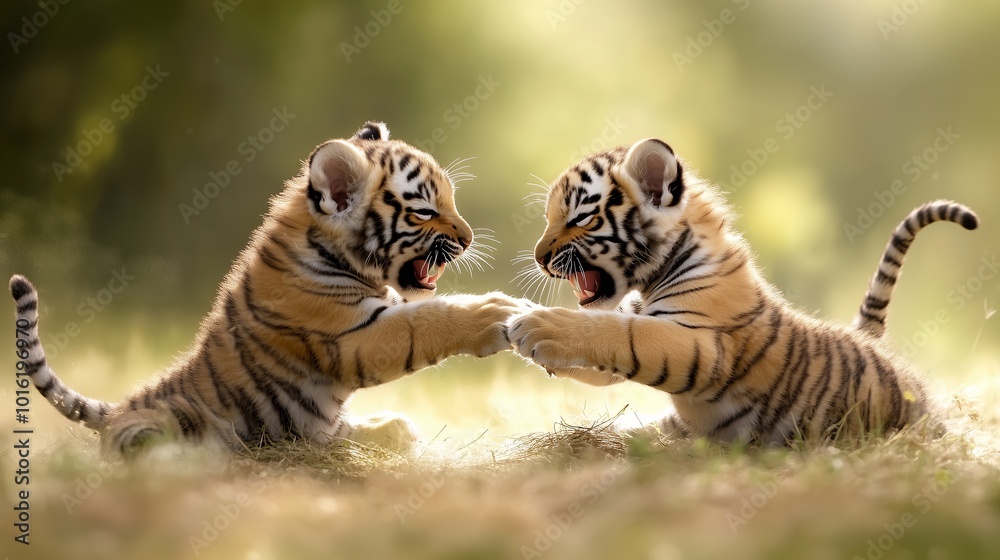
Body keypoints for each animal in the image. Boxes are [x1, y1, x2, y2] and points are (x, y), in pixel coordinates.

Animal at [10, 121, 528, 456]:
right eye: (424, 211)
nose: (470, 239)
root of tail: (119, 406)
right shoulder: (351, 335)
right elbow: (428, 321)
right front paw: (496, 312)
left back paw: (390, 429)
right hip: (167, 424)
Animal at [508, 137, 979, 444]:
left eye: (580, 218)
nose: (537, 257)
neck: (653, 278)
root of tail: (869, 342)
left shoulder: (701, 347)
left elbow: (617, 333)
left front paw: (535, 325)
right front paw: (509, 315)